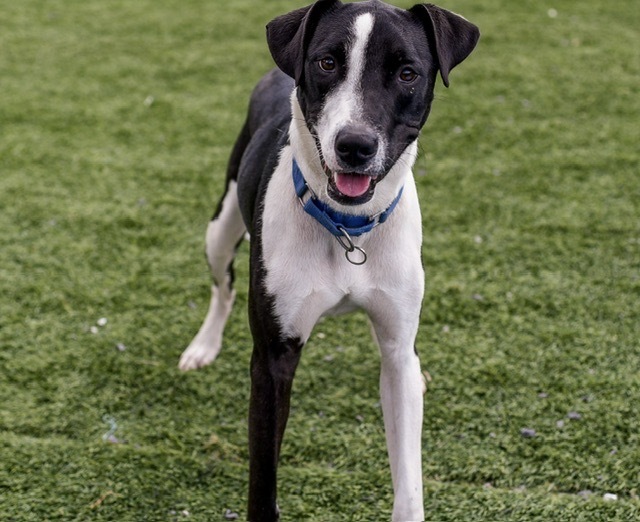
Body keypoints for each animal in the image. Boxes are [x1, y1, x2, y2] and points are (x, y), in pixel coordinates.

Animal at [178, 2, 478, 516]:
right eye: (326, 63)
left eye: (407, 73)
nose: (354, 145)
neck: (346, 228)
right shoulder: (274, 359)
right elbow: (263, 480)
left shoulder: (397, 350)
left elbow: (409, 485)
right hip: (220, 225)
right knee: (224, 284)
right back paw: (204, 345)